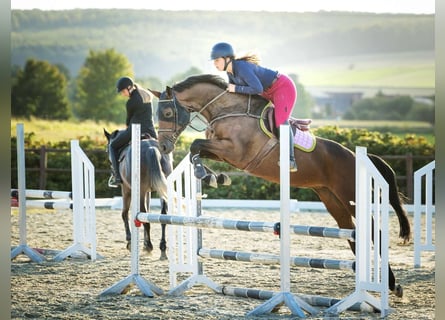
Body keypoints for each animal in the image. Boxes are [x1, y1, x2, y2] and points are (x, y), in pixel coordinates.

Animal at [104, 128, 172, 260]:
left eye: (107, 150)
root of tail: (151, 148)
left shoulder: (126, 189)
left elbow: (124, 213)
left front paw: (130, 242)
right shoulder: (148, 192)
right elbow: (148, 213)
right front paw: (144, 243)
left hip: (138, 191)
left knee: (143, 216)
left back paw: (149, 246)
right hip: (161, 190)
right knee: (163, 216)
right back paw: (162, 248)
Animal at [149, 73, 410, 298]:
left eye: (168, 112)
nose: (163, 146)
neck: (227, 110)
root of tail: (356, 156)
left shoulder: (236, 152)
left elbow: (195, 144)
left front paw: (209, 175)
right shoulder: (222, 151)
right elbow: (197, 149)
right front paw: (213, 176)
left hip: (349, 194)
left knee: (372, 231)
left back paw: (392, 285)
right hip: (331, 198)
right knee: (351, 231)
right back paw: (381, 282)